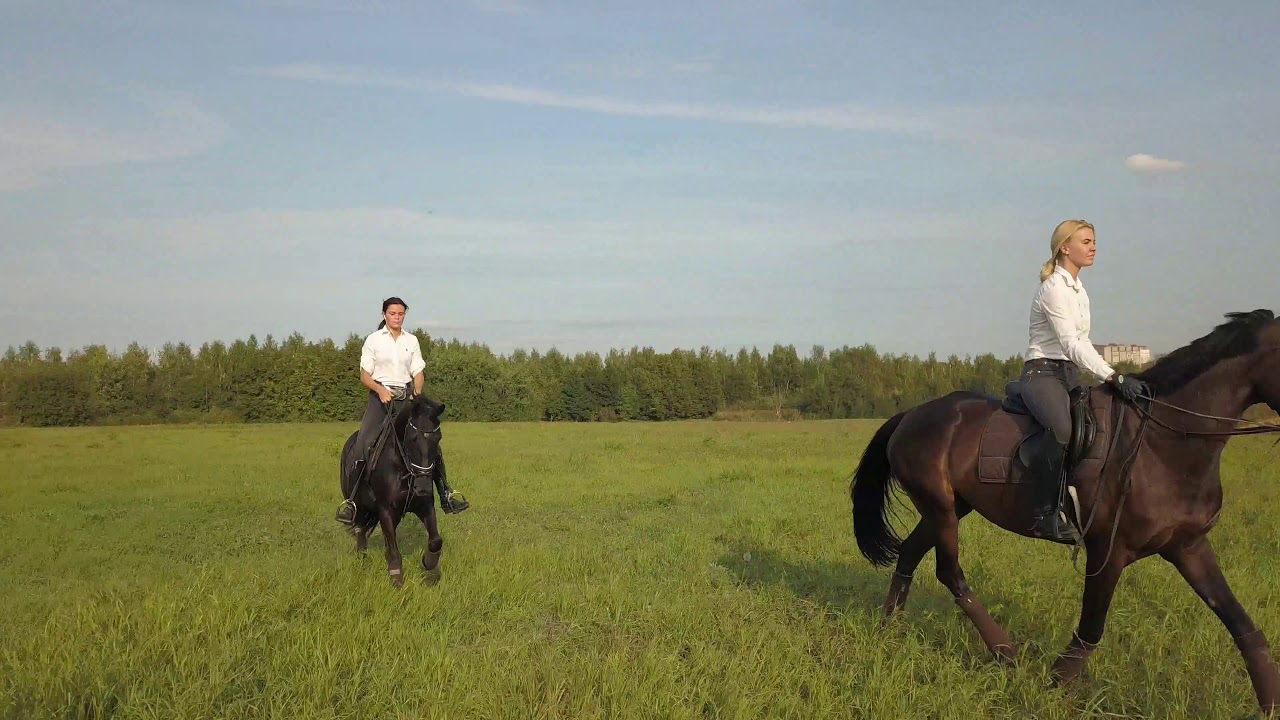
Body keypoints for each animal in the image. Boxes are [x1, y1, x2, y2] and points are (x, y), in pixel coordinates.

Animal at [339, 394, 448, 588]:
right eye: (412, 438)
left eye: (438, 438)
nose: (422, 486)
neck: (401, 467)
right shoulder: (386, 511)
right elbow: (393, 547)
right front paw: (397, 579)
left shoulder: (425, 505)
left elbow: (435, 540)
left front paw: (429, 564)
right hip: (359, 507)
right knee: (360, 532)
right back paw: (362, 560)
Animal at [850, 309, 1280, 714]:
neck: (1162, 443)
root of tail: (910, 415)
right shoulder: (1108, 551)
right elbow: (1091, 628)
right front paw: (1056, 687)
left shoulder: (1188, 546)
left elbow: (1240, 623)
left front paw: (1270, 700)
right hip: (940, 509)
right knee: (950, 573)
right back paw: (1005, 653)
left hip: (950, 508)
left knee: (910, 554)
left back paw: (890, 630)